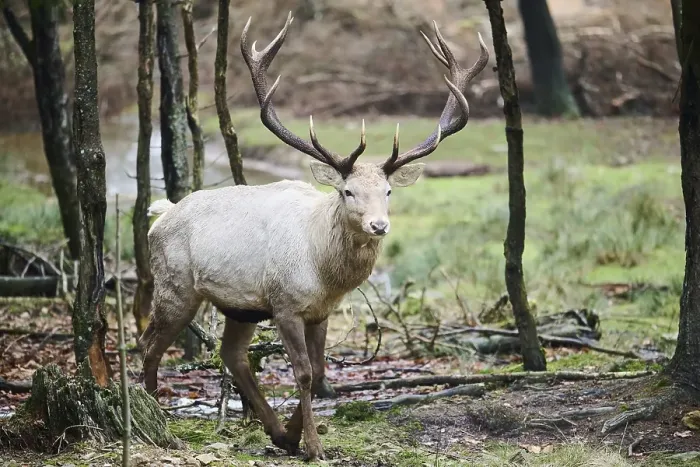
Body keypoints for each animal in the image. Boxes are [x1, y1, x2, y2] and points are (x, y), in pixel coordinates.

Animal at [138, 12, 488, 461]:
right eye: (347, 191)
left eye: (388, 192)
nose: (379, 226)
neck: (324, 273)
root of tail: (161, 214)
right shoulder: (285, 302)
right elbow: (302, 373)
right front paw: (314, 445)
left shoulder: (321, 311)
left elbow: (320, 370)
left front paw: (295, 434)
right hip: (175, 284)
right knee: (150, 344)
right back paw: (156, 419)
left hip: (240, 306)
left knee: (232, 354)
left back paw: (273, 431)